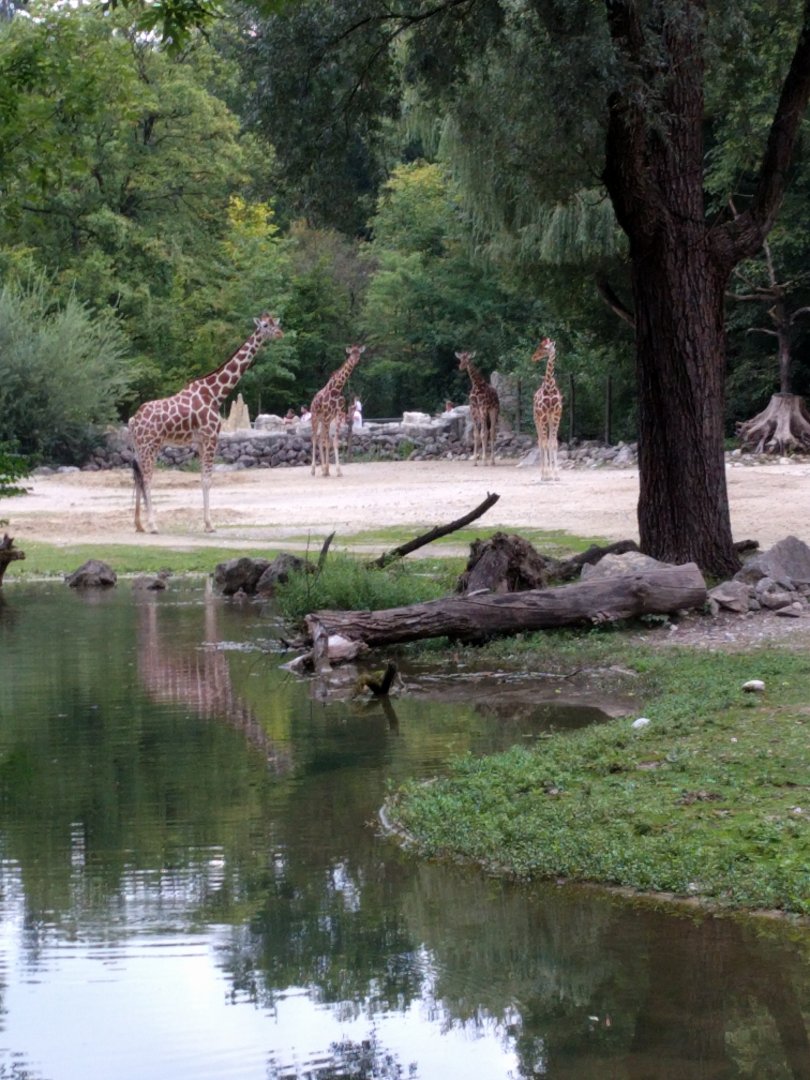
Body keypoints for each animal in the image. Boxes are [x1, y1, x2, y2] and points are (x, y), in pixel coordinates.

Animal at [128, 313, 283, 533]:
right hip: (150, 445)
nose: (279, 333)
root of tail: (134, 419)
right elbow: (208, 480)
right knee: (148, 478)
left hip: (140, 447)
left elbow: (202, 479)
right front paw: (210, 525)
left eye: (274, 323)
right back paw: (153, 525)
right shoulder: (211, 437)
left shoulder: (201, 442)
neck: (215, 393)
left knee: (139, 478)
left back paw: (139, 524)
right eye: (264, 325)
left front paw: (206, 522)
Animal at [310, 344, 366, 477]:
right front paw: (327, 470)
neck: (337, 389)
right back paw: (313, 469)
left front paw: (336, 470)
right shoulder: (326, 414)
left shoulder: (338, 415)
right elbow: (327, 441)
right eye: (351, 353)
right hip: (315, 417)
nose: (355, 360)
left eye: (358, 353)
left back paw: (322, 468)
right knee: (314, 438)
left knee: (320, 438)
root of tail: (313, 400)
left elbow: (334, 441)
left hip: (324, 420)